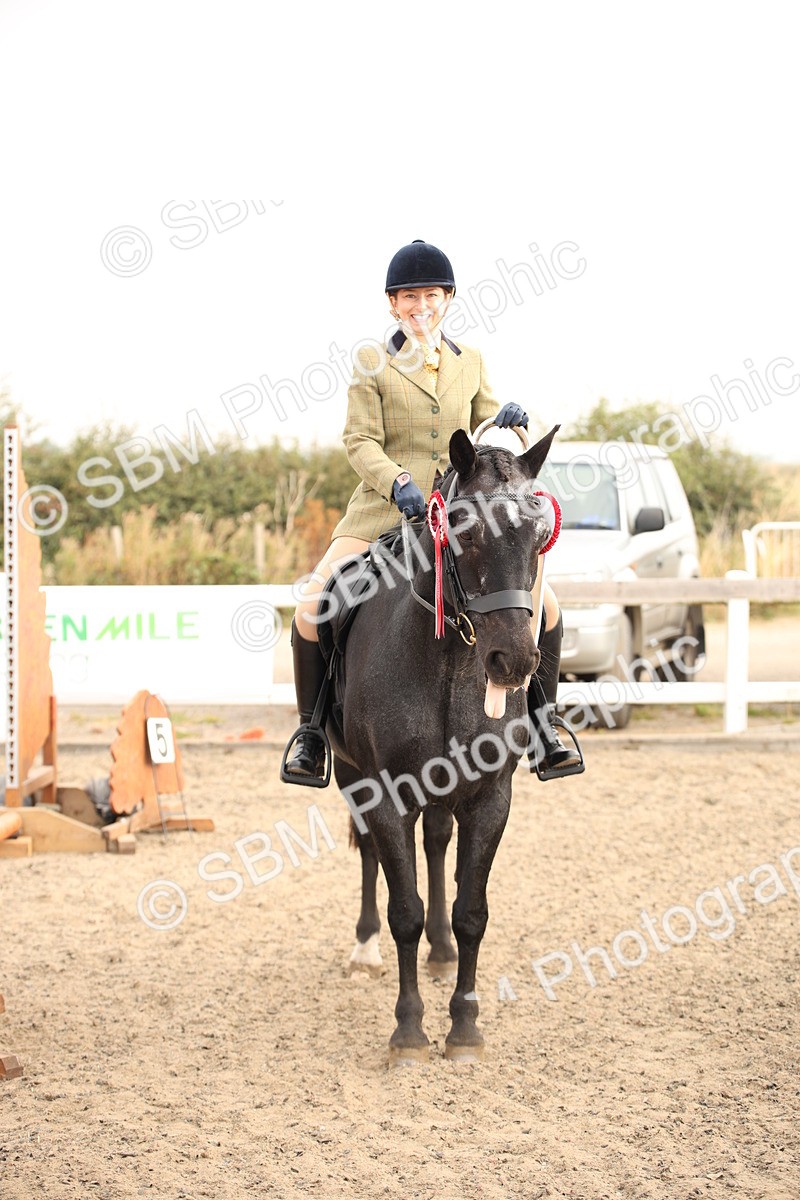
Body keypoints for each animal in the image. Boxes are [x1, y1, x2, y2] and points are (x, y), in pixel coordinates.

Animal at [326, 424, 561, 1064]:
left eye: (540, 537)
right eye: (466, 532)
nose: (514, 663)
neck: (452, 657)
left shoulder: (490, 797)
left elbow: (471, 912)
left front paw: (465, 1027)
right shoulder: (387, 794)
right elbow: (403, 909)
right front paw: (409, 1031)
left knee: (434, 843)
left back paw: (440, 951)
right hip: (353, 777)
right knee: (372, 854)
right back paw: (365, 950)